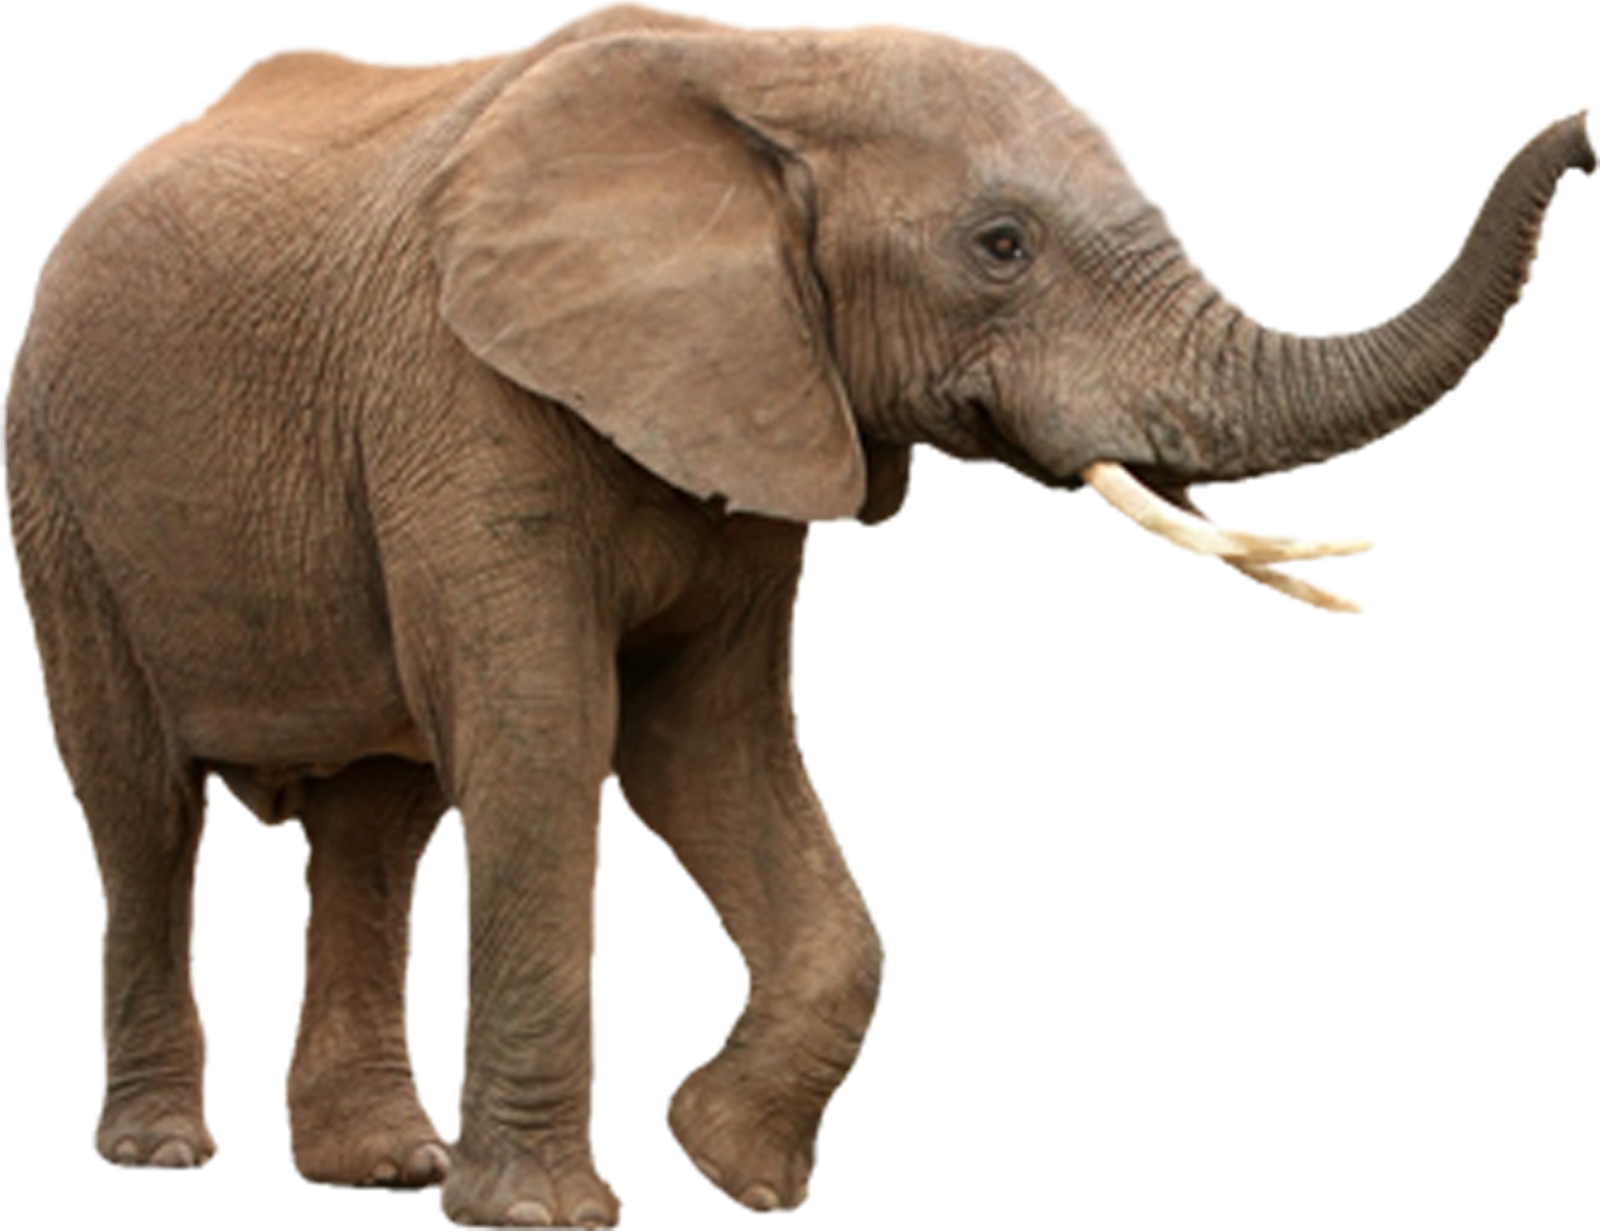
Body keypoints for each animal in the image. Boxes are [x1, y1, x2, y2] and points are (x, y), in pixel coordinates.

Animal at [2, 0, 1594, 1225]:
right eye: (1000, 245)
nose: (1583, 130)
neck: (770, 67)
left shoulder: (765, 403)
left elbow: (706, 743)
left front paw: (733, 1169)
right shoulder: (464, 392)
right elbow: (547, 733)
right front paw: (550, 1219)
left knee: (376, 825)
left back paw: (384, 1167)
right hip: (54, 485)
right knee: (141, 807)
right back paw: (165, 1151)